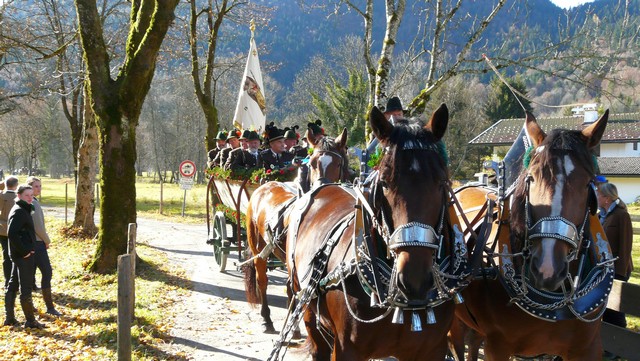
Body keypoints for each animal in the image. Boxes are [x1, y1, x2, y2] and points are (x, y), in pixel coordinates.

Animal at [242, 128, 350, 334]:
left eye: (338, 163)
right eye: (312, 162)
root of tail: (264, 185)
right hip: (258, 248)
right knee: (262, 280)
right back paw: (266, 319)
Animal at [276, 102, 470, 358]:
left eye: (441, 182)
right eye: (385, 182)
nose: (414, 278)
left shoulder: (431, 350)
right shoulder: (346, 349)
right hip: (306, 306)